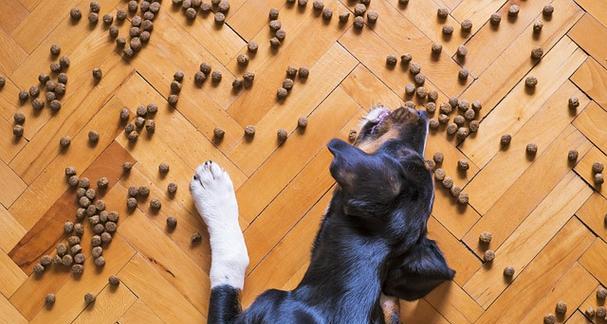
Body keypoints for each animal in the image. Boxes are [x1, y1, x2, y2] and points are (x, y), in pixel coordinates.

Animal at [191, 105, 456, 322]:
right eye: (410, 154)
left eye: (399, 152)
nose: (422, 114)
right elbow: (390, 307)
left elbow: (231, 264)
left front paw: (213, 191)